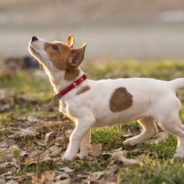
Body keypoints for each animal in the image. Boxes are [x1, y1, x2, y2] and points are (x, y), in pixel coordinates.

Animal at [28, 35, 184, 160]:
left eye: (55, 47)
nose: (33, 37)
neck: (74, 85)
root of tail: (169, 85)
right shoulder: (83, 123)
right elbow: (84, 140)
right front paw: (82, 155)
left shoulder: (85, 120)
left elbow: (74, 137)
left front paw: (68, 156)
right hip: (144, 115)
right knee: (151, 130)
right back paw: (132, 141)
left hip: (167, 119)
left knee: (181, 132)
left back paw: (179, 153)